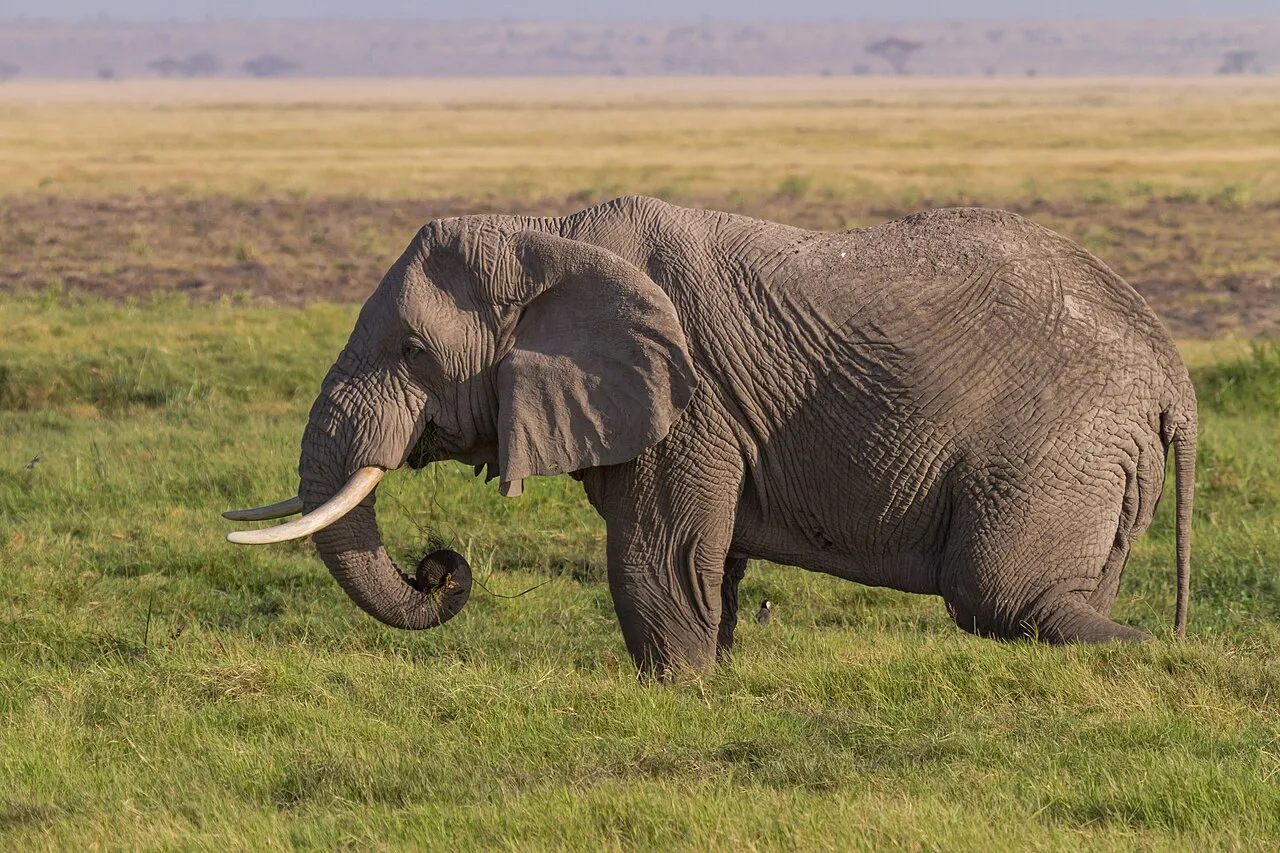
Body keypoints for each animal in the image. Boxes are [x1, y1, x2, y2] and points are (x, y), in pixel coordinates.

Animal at [224, 195, 1197, 675]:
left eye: (412, 351)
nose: (439, 565)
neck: (547, 234)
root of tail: (1174, 380)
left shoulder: (689, 400)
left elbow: (658, 553)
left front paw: (680, 691)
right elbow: (711, 557)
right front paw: (716, 679)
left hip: (1057, 442)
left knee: (999, 594)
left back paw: (1154, 655)